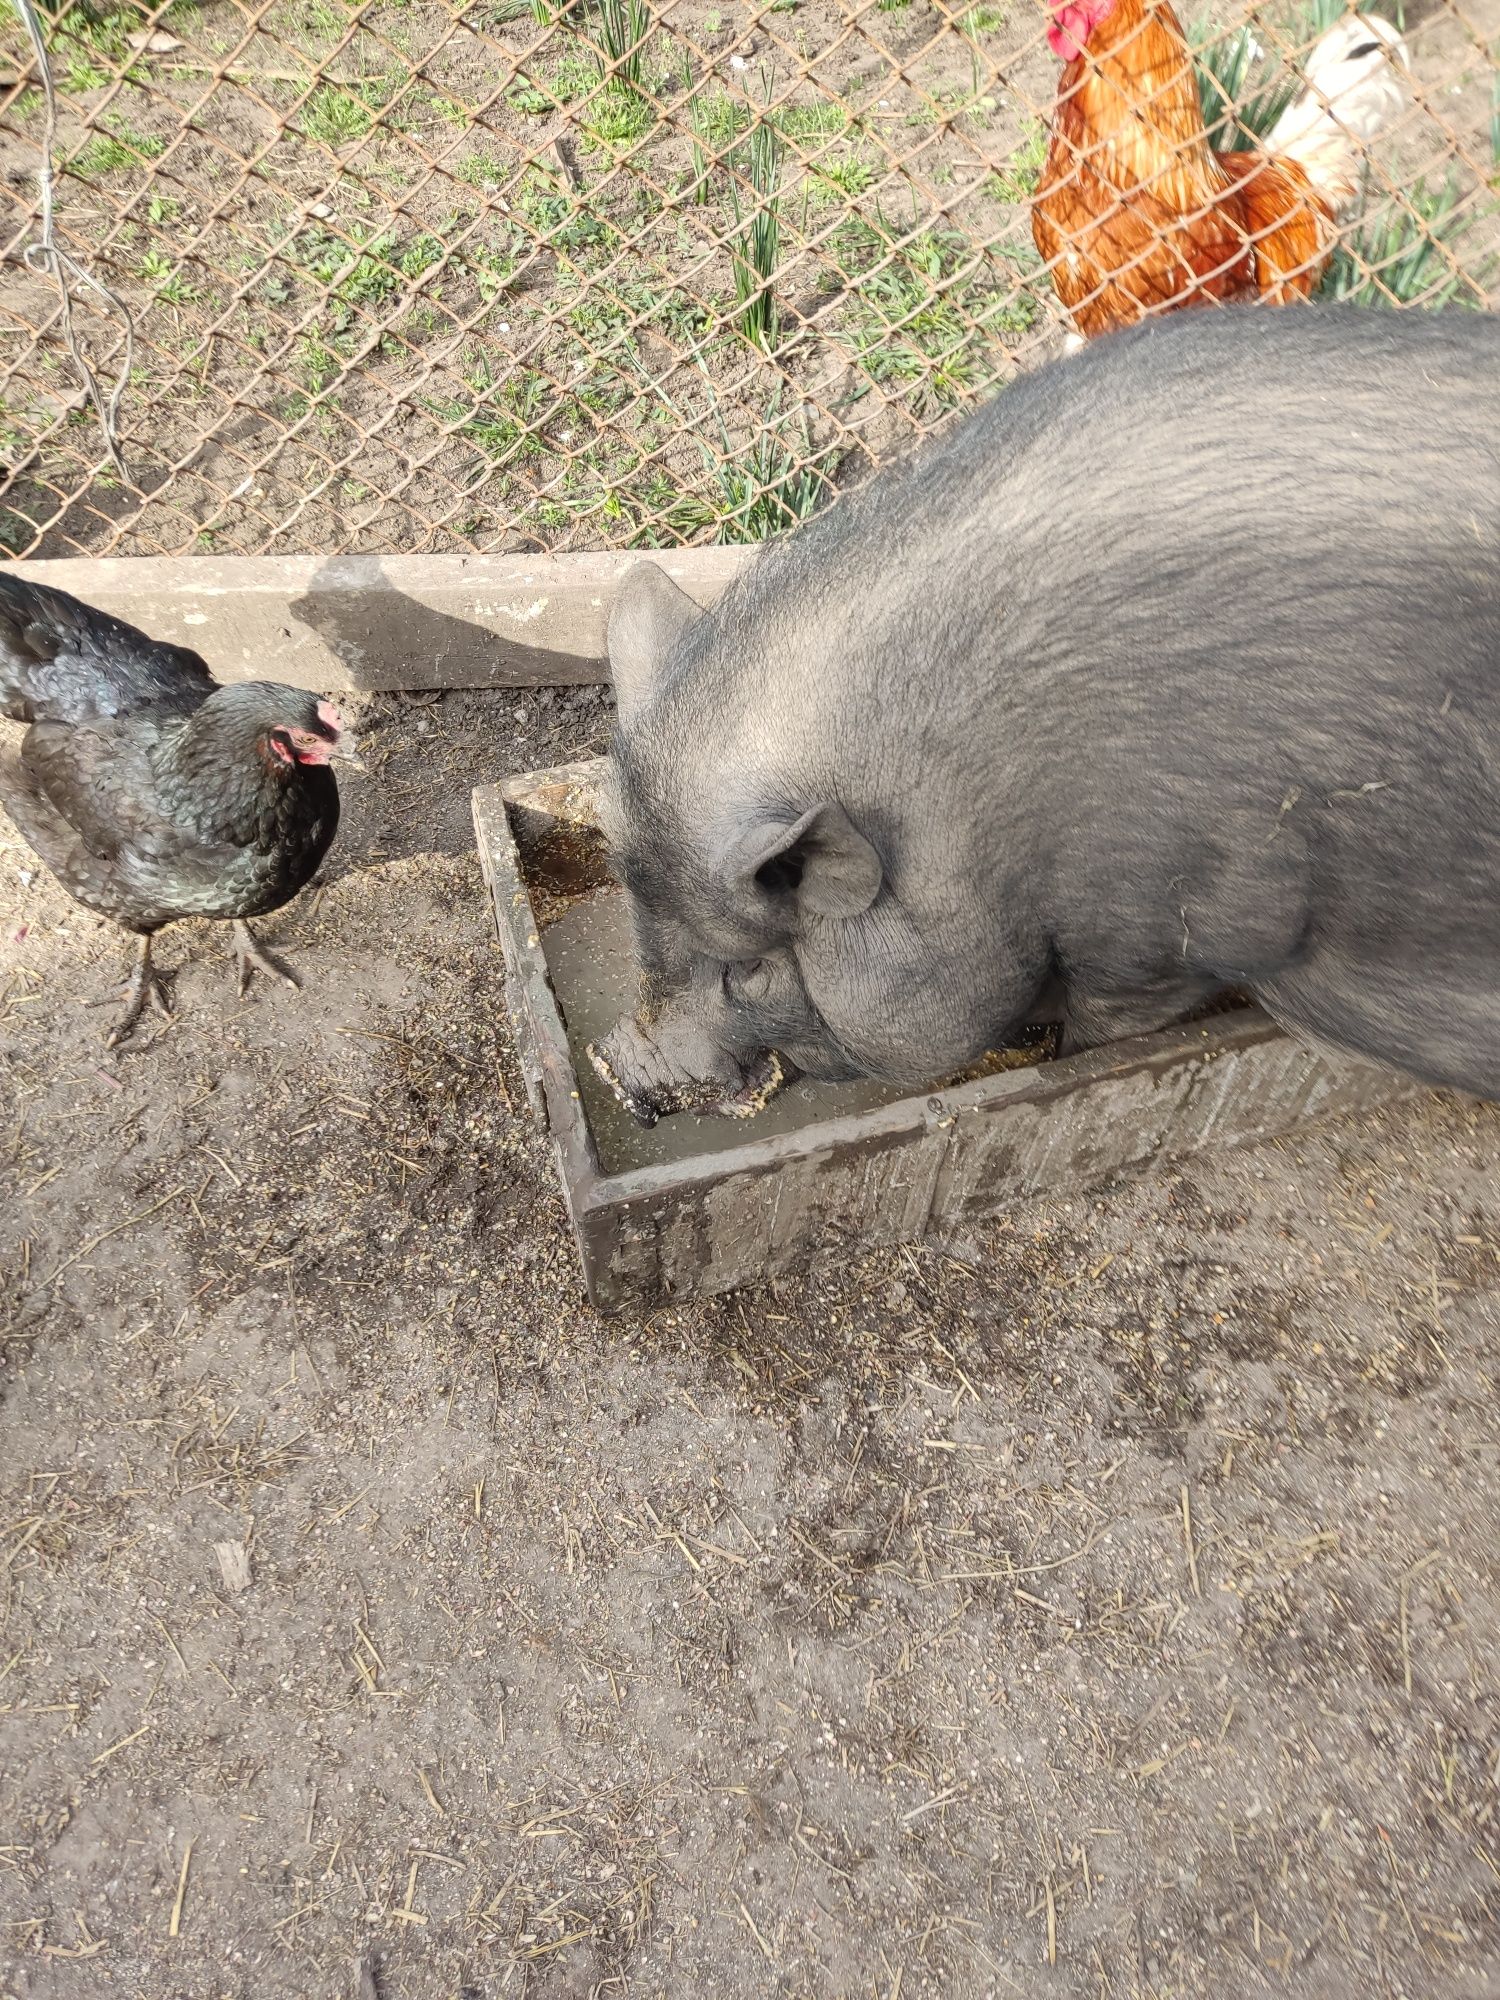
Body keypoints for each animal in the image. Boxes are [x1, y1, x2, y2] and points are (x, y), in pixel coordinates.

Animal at [592, 300, 1500, 1128]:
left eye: (743, 969)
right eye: (636, 920)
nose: (615, 1062)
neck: (963, 814)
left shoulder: (1164, 929)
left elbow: (1102, 1028)